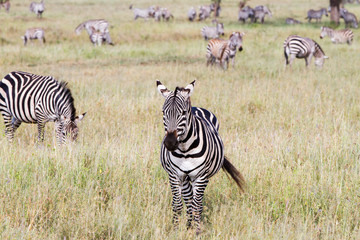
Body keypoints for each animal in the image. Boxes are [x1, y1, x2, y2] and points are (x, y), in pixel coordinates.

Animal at [157, 80, 245, 232]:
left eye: (183, 112)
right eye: (163, 112)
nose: (170, 143)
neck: (185, 149)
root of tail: (196, 107)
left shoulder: (201, 176)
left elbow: (197, 206)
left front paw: (197, 231)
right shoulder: (174, 175)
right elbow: (178, 205)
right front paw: (176, 229)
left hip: (200, 178)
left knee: (195, 202)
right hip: (185, 178)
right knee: (188, 200)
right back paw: (188, 225)